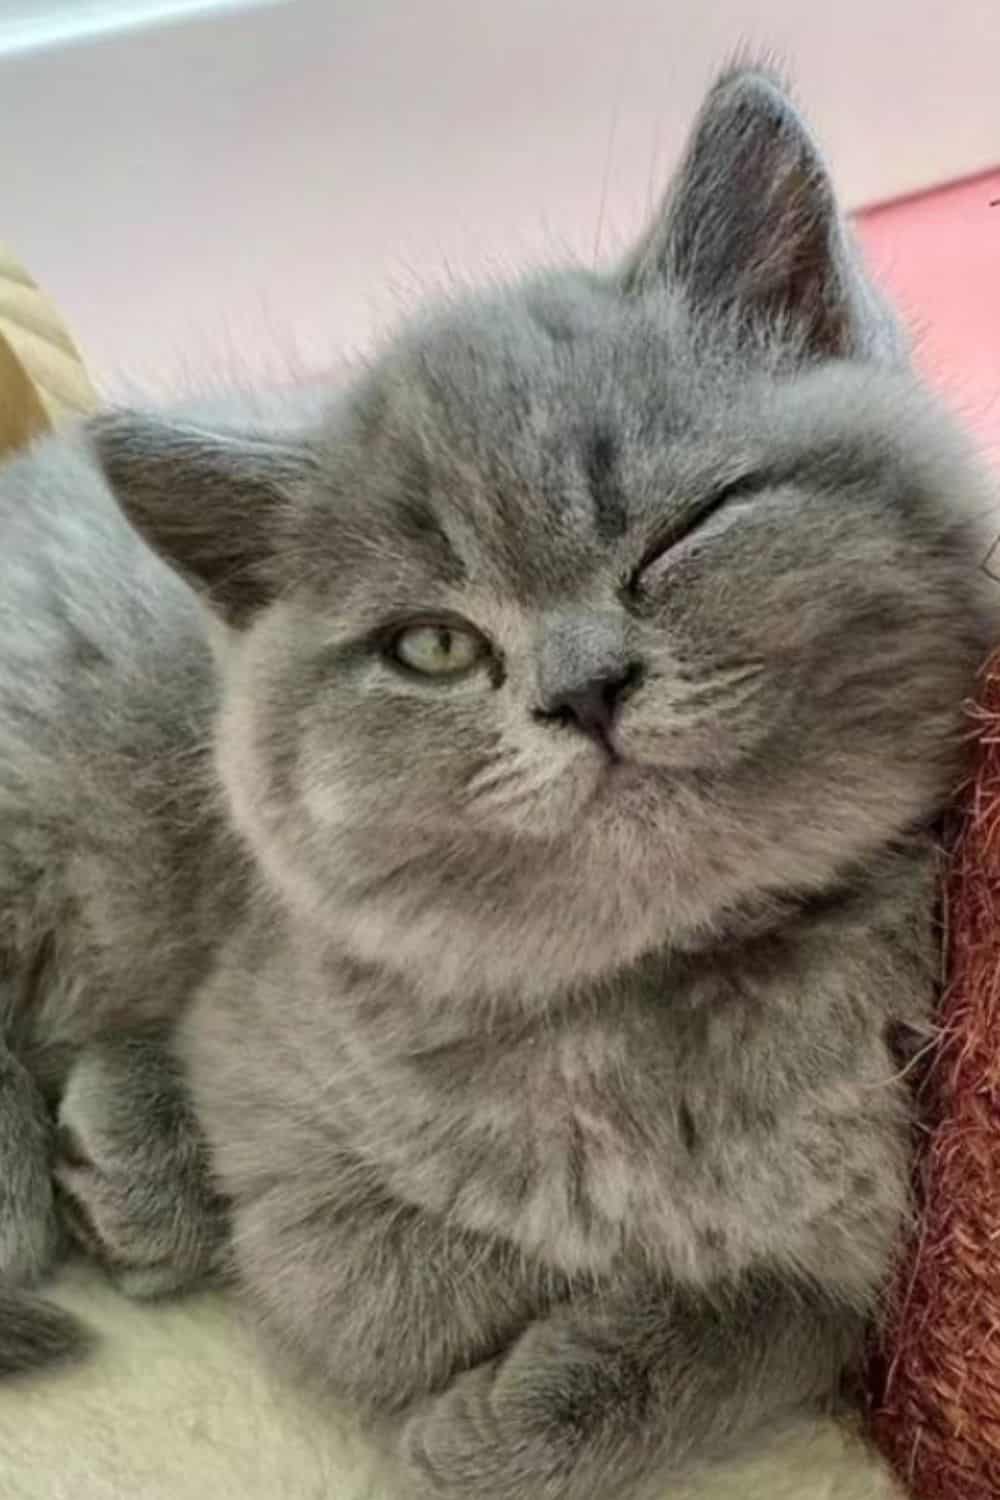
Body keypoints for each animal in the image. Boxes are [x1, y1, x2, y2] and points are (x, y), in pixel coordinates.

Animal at [0, 64, 995, 1494]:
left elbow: (758, 1318)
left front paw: (528, 1413)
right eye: (433, 647)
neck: (669, 991)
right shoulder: (269, 1040)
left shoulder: (868, 1227)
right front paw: (460, 1386)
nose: (582, 687)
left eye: (684, 530)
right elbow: (368, 1272)